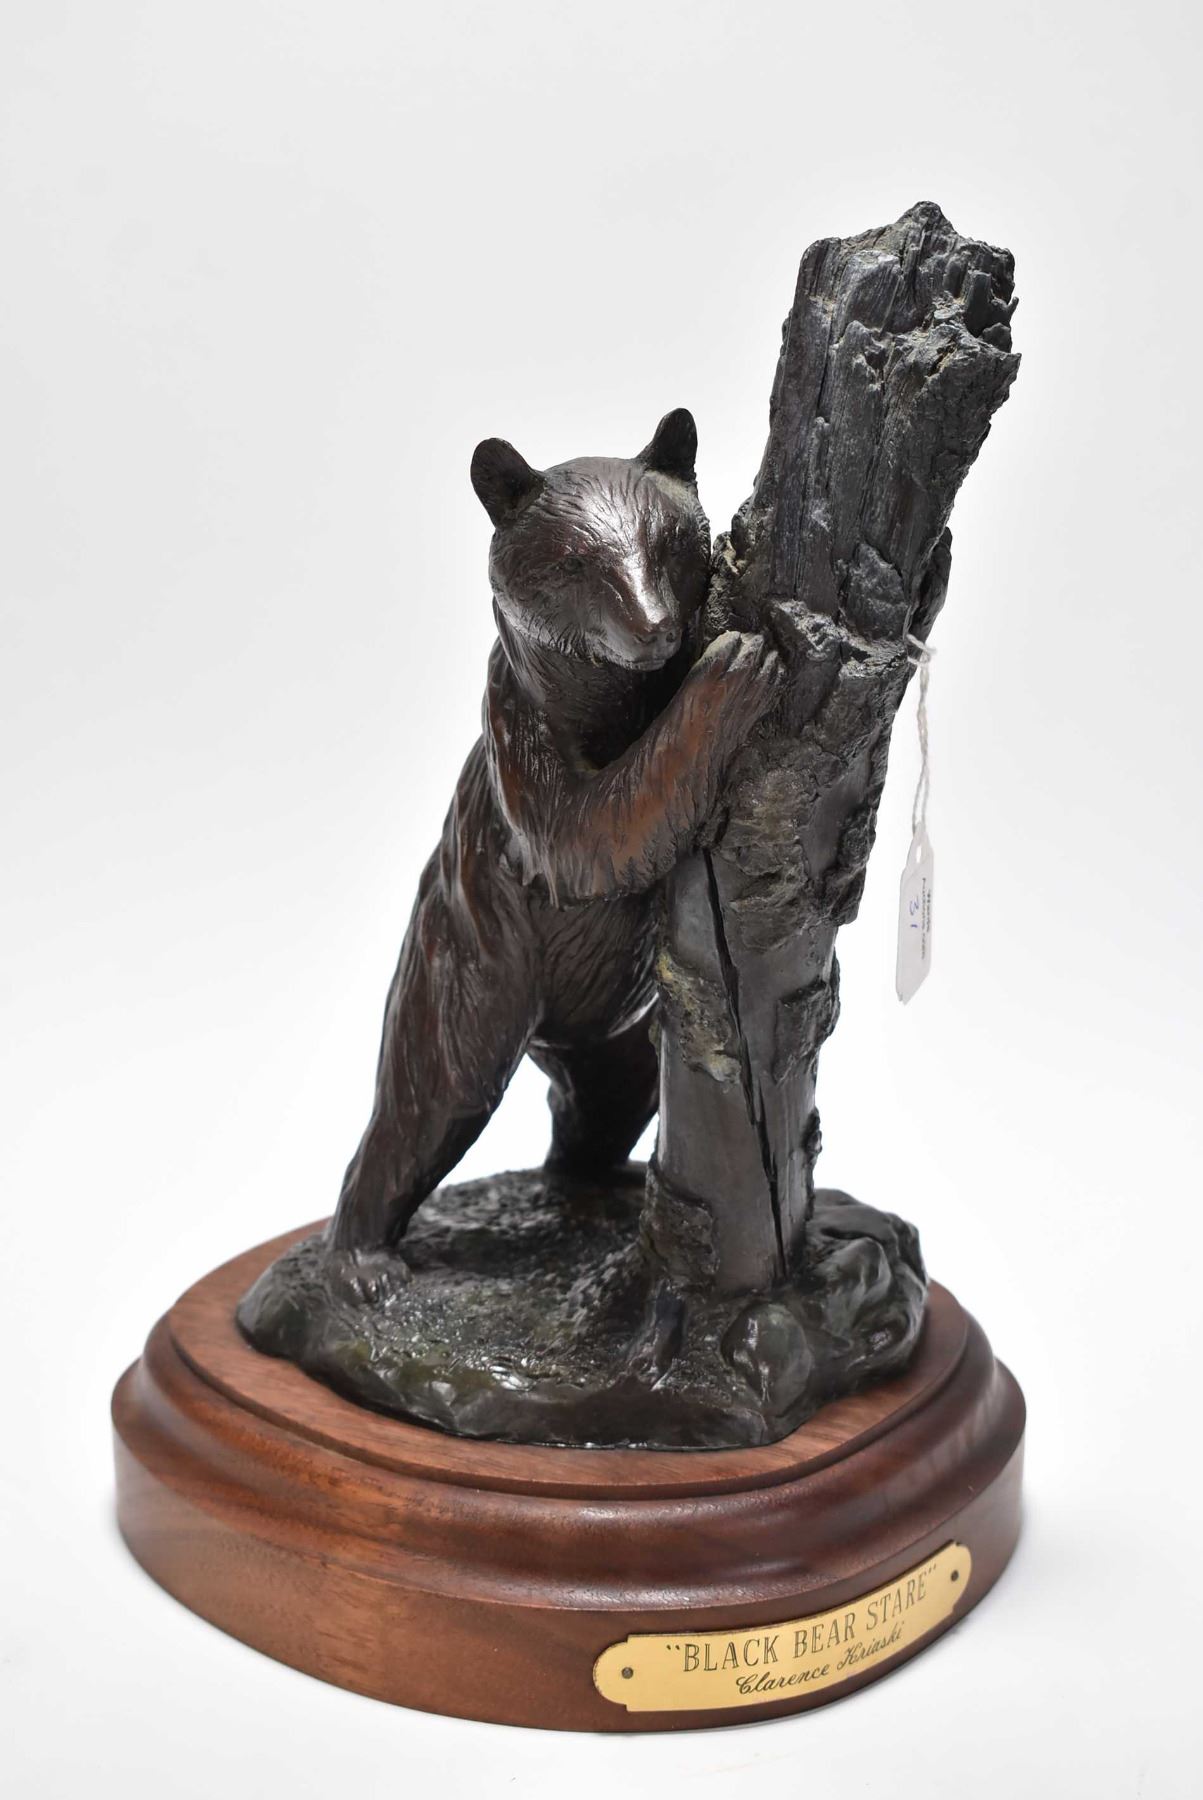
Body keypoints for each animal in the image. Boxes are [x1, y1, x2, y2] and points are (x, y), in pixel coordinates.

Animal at [326, 408, 781, 1258]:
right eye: (576, 560)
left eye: (668, 541)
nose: (655, 631)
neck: (606, 702)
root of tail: (552, 1037)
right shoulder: (520, 754)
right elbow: (593, 835)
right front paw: (731, 667)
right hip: (464, 977)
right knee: (423, 1108)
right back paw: (362, 1258)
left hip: (619, 1036)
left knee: (604, 1108)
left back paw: (602, 1189)